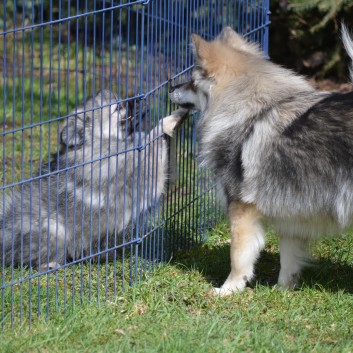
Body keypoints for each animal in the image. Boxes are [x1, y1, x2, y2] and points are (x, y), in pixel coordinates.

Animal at [0, 91, 187, 270]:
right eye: (118, 107)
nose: (141, 99)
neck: (96, 143)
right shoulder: (145, 177)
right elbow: (153, 139)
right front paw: (170, 120)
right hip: (53, 228)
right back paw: (51, 265)